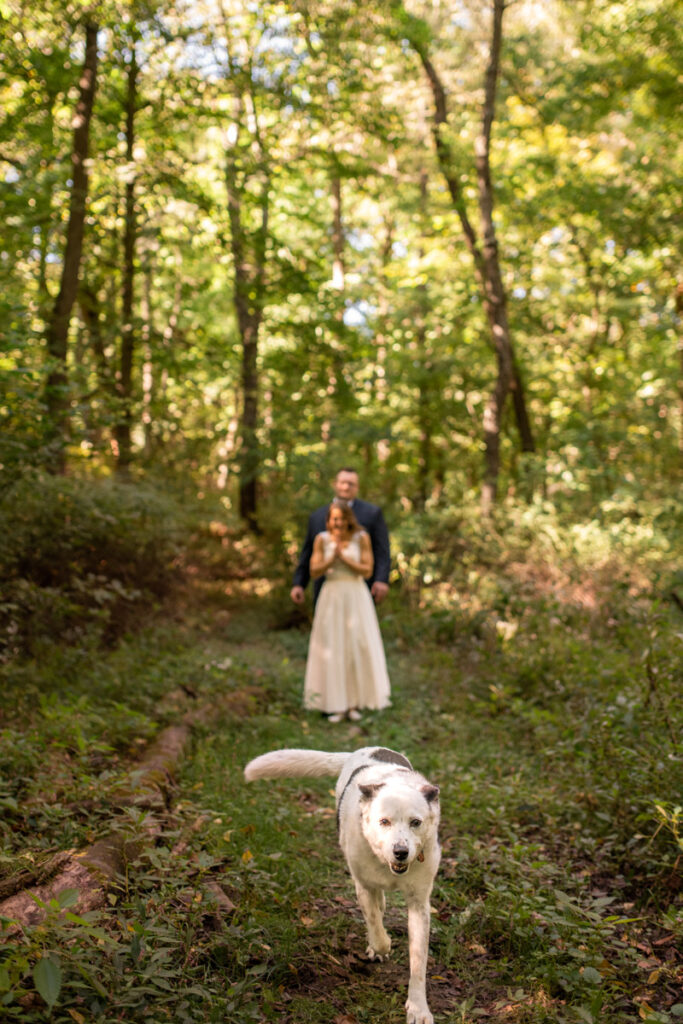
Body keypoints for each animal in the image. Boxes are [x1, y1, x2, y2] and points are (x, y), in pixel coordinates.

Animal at [245, 745, 444, 1024]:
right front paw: (381, 945)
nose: (401, 852)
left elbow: (418, 962)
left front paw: (418, 1009)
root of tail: (366, 749)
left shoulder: (419, 904)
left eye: (416, 822)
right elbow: (376, 929)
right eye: (384, 821)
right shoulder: (363, 886)